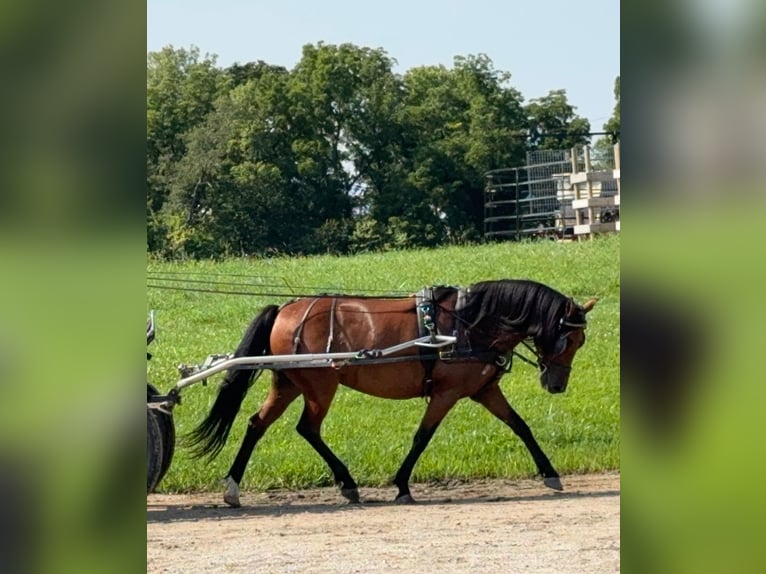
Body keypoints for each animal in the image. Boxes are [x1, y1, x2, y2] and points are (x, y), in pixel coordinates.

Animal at [188, 280, 600, 508]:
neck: (469, 324)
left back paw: (233, 488)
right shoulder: (447, 393)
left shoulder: (484, 389)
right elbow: (422, 437)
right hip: (321, 386)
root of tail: (286, 309)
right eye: (572, 339)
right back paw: (347, 483)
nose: (556, 384)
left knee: (257, 424)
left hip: (288, 384)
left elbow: (520, 426)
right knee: (307, 428)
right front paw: (402, 485)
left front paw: (550, 473)